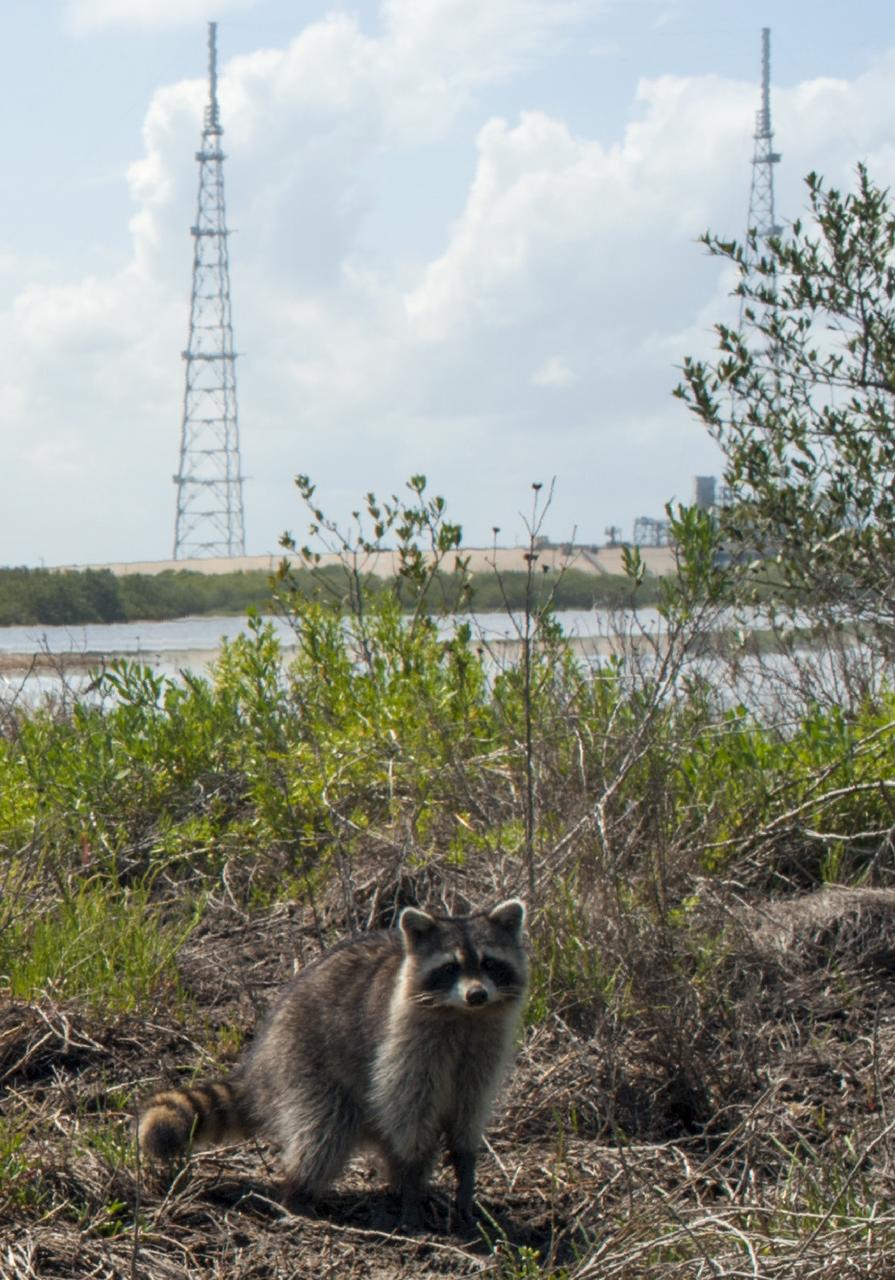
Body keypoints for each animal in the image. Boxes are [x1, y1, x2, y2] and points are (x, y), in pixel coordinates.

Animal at [138, 898, 528, 1229]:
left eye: (490, 963)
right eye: (450, 968)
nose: (476, 994)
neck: (463, 1017)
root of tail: (259, 1063)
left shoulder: (483, 1052)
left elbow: (468, 1113)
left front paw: (464, 1175)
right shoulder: (405, 1046)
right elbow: (410, 1115)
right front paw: (413, 1188)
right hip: (304, 1065)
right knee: (324, 1131)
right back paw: (299, 1194)